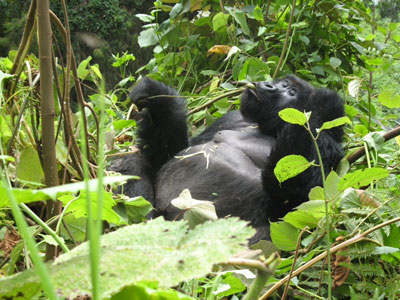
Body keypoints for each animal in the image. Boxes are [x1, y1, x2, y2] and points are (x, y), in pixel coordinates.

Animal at [109, 76, 344, 243]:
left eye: (289, 90)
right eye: (280, 82)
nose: (268, 84)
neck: (269, 127)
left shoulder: (327, 143)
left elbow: (296, 196)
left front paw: (322, 102)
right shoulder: (231, 117)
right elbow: (167, 152)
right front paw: (158, 98)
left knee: (265, 239)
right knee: (131, 163)